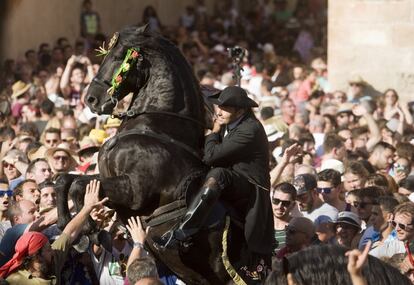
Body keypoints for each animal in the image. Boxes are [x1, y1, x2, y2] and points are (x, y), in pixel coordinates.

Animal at [55, 25, 256, 282]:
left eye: (118, 57)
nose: (91, 99)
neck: (155, 127)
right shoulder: (111, 181)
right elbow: (65, 180)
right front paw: (68, 226)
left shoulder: (133, 191)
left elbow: (79, 186)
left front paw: (88, 229)